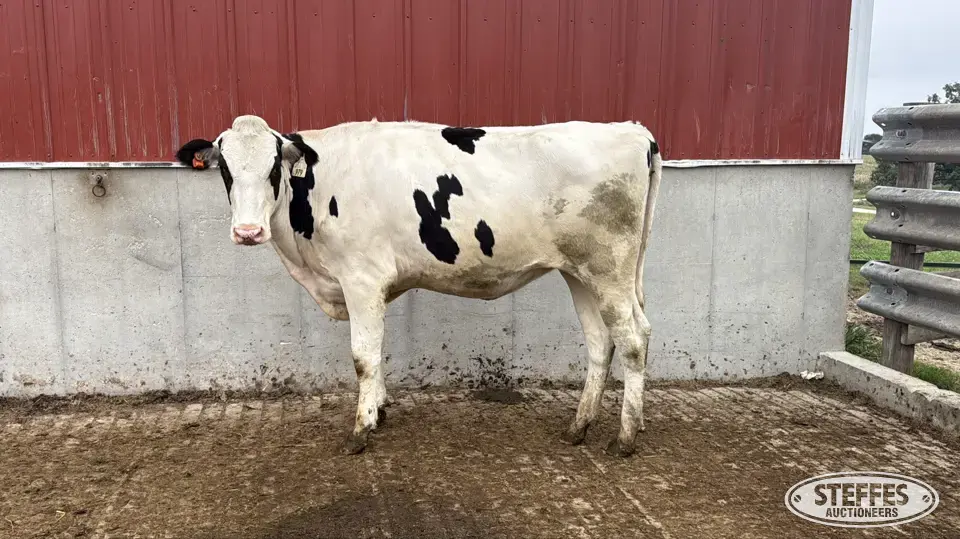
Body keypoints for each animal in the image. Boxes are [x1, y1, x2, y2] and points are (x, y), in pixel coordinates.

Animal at [177, 115, 662, 457]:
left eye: (274, 167)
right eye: (225, 170)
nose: (247, 231)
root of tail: (633, 130)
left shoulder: (361, 279)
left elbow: (362, 357)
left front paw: (361, 429)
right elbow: (378, 351)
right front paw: (380, 408)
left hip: (610, 270)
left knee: (634, 339)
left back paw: (625, 438)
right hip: (579, 272)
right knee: (600, 342)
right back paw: (579, 427)